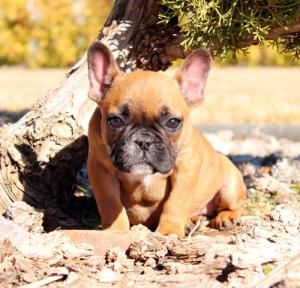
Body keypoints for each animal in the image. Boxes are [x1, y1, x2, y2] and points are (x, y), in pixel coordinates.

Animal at [86, 41, 246, 237]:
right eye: (115, 121)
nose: (144, 141)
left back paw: (226, 217)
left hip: (230, 186)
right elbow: (110, 202)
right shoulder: (100, 169)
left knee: (236, 205)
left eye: (173, 122)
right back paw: (191, 221)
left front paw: (169, 231)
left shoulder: (186, 168)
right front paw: (115, 231)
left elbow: (175, 203)